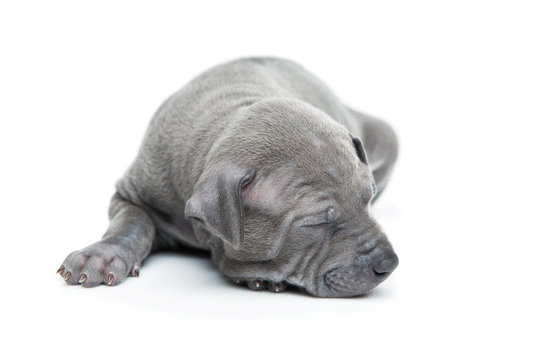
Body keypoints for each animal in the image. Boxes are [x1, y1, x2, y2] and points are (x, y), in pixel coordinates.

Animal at [57, 57, 398, 298]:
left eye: (368, 199)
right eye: (315, 224)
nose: (389, 264)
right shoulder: (133, 191)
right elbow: (132, 221)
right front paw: (100, 255)